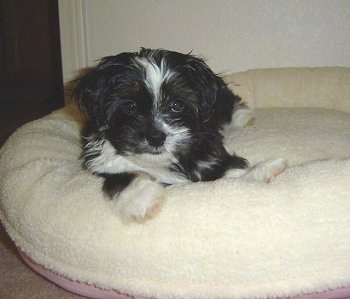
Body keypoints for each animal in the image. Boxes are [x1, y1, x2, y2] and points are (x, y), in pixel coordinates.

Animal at [74, 48, 288, 223]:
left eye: (177, 105)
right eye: (130, 106)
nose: (156, 137)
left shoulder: (209, 157)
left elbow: (228, 171)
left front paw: (262, 171)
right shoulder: (103, 161)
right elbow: (125, 175)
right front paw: (144, 198)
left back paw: (244, 118)